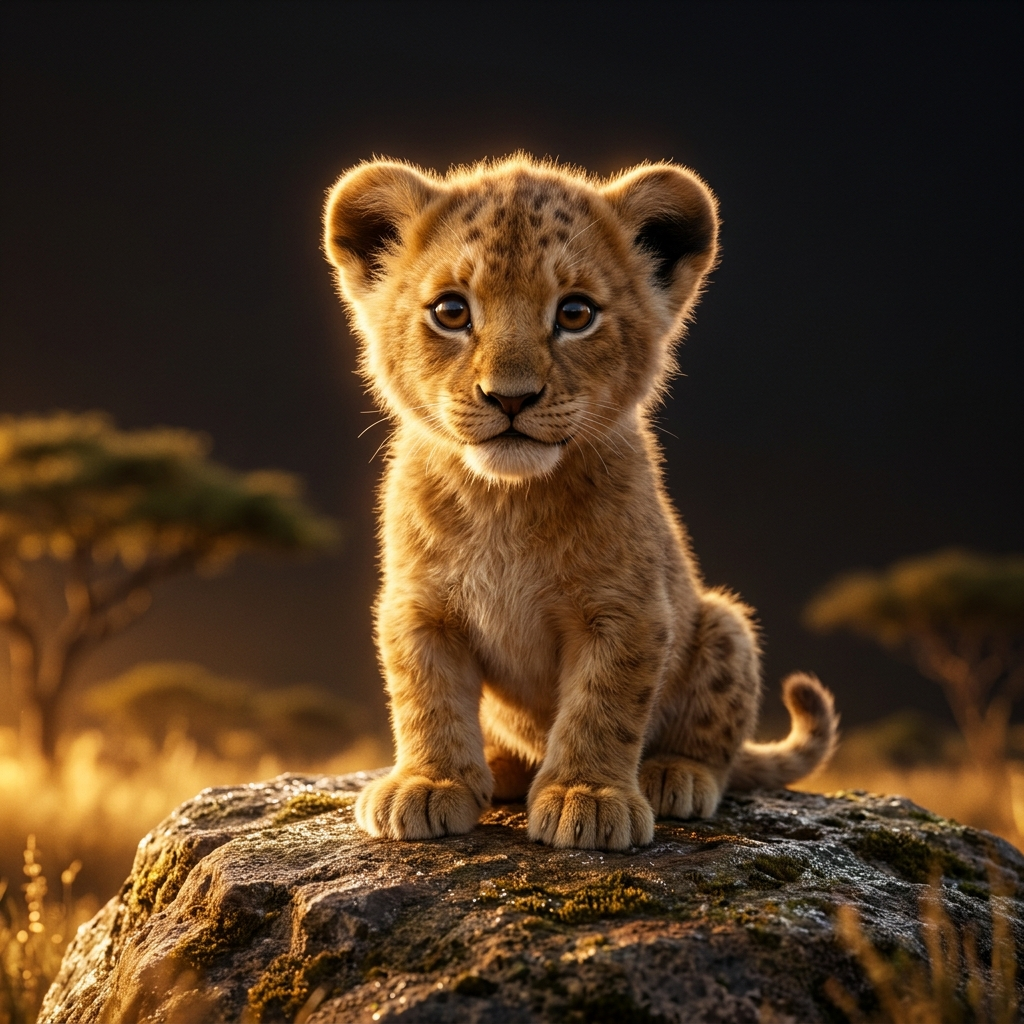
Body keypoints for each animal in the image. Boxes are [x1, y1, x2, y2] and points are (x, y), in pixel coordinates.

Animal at [323, 154, 838, 851]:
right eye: (451, 311)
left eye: (575, 314)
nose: (510, 397)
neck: (505, 503)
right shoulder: (418, 607)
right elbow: (425, 697)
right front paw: (429, 784)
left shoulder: (627, 611)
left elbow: (604, 705)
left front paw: (586, 797)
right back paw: (502, 770)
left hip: (724, 621)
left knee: (718, 745)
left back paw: (676, 775)